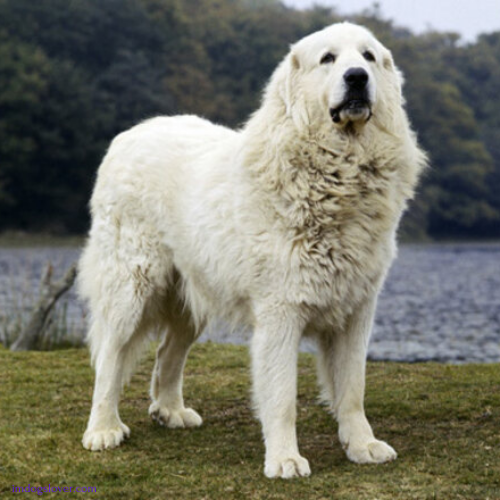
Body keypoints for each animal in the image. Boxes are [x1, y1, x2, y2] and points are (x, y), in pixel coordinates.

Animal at [78, 21, 426, 478]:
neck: (337, 173)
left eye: (368, 56)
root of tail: (129, 134)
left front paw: (362, 445)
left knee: (167, 352)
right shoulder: (280, 313)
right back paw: (102, 430)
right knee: (110, 359)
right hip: (131, 287)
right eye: (328, 59)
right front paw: (284, 459)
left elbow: (353, 389)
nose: (357, 78)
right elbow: (281, 397)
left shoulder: (356, 311)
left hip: (193, 294)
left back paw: (170, 411)